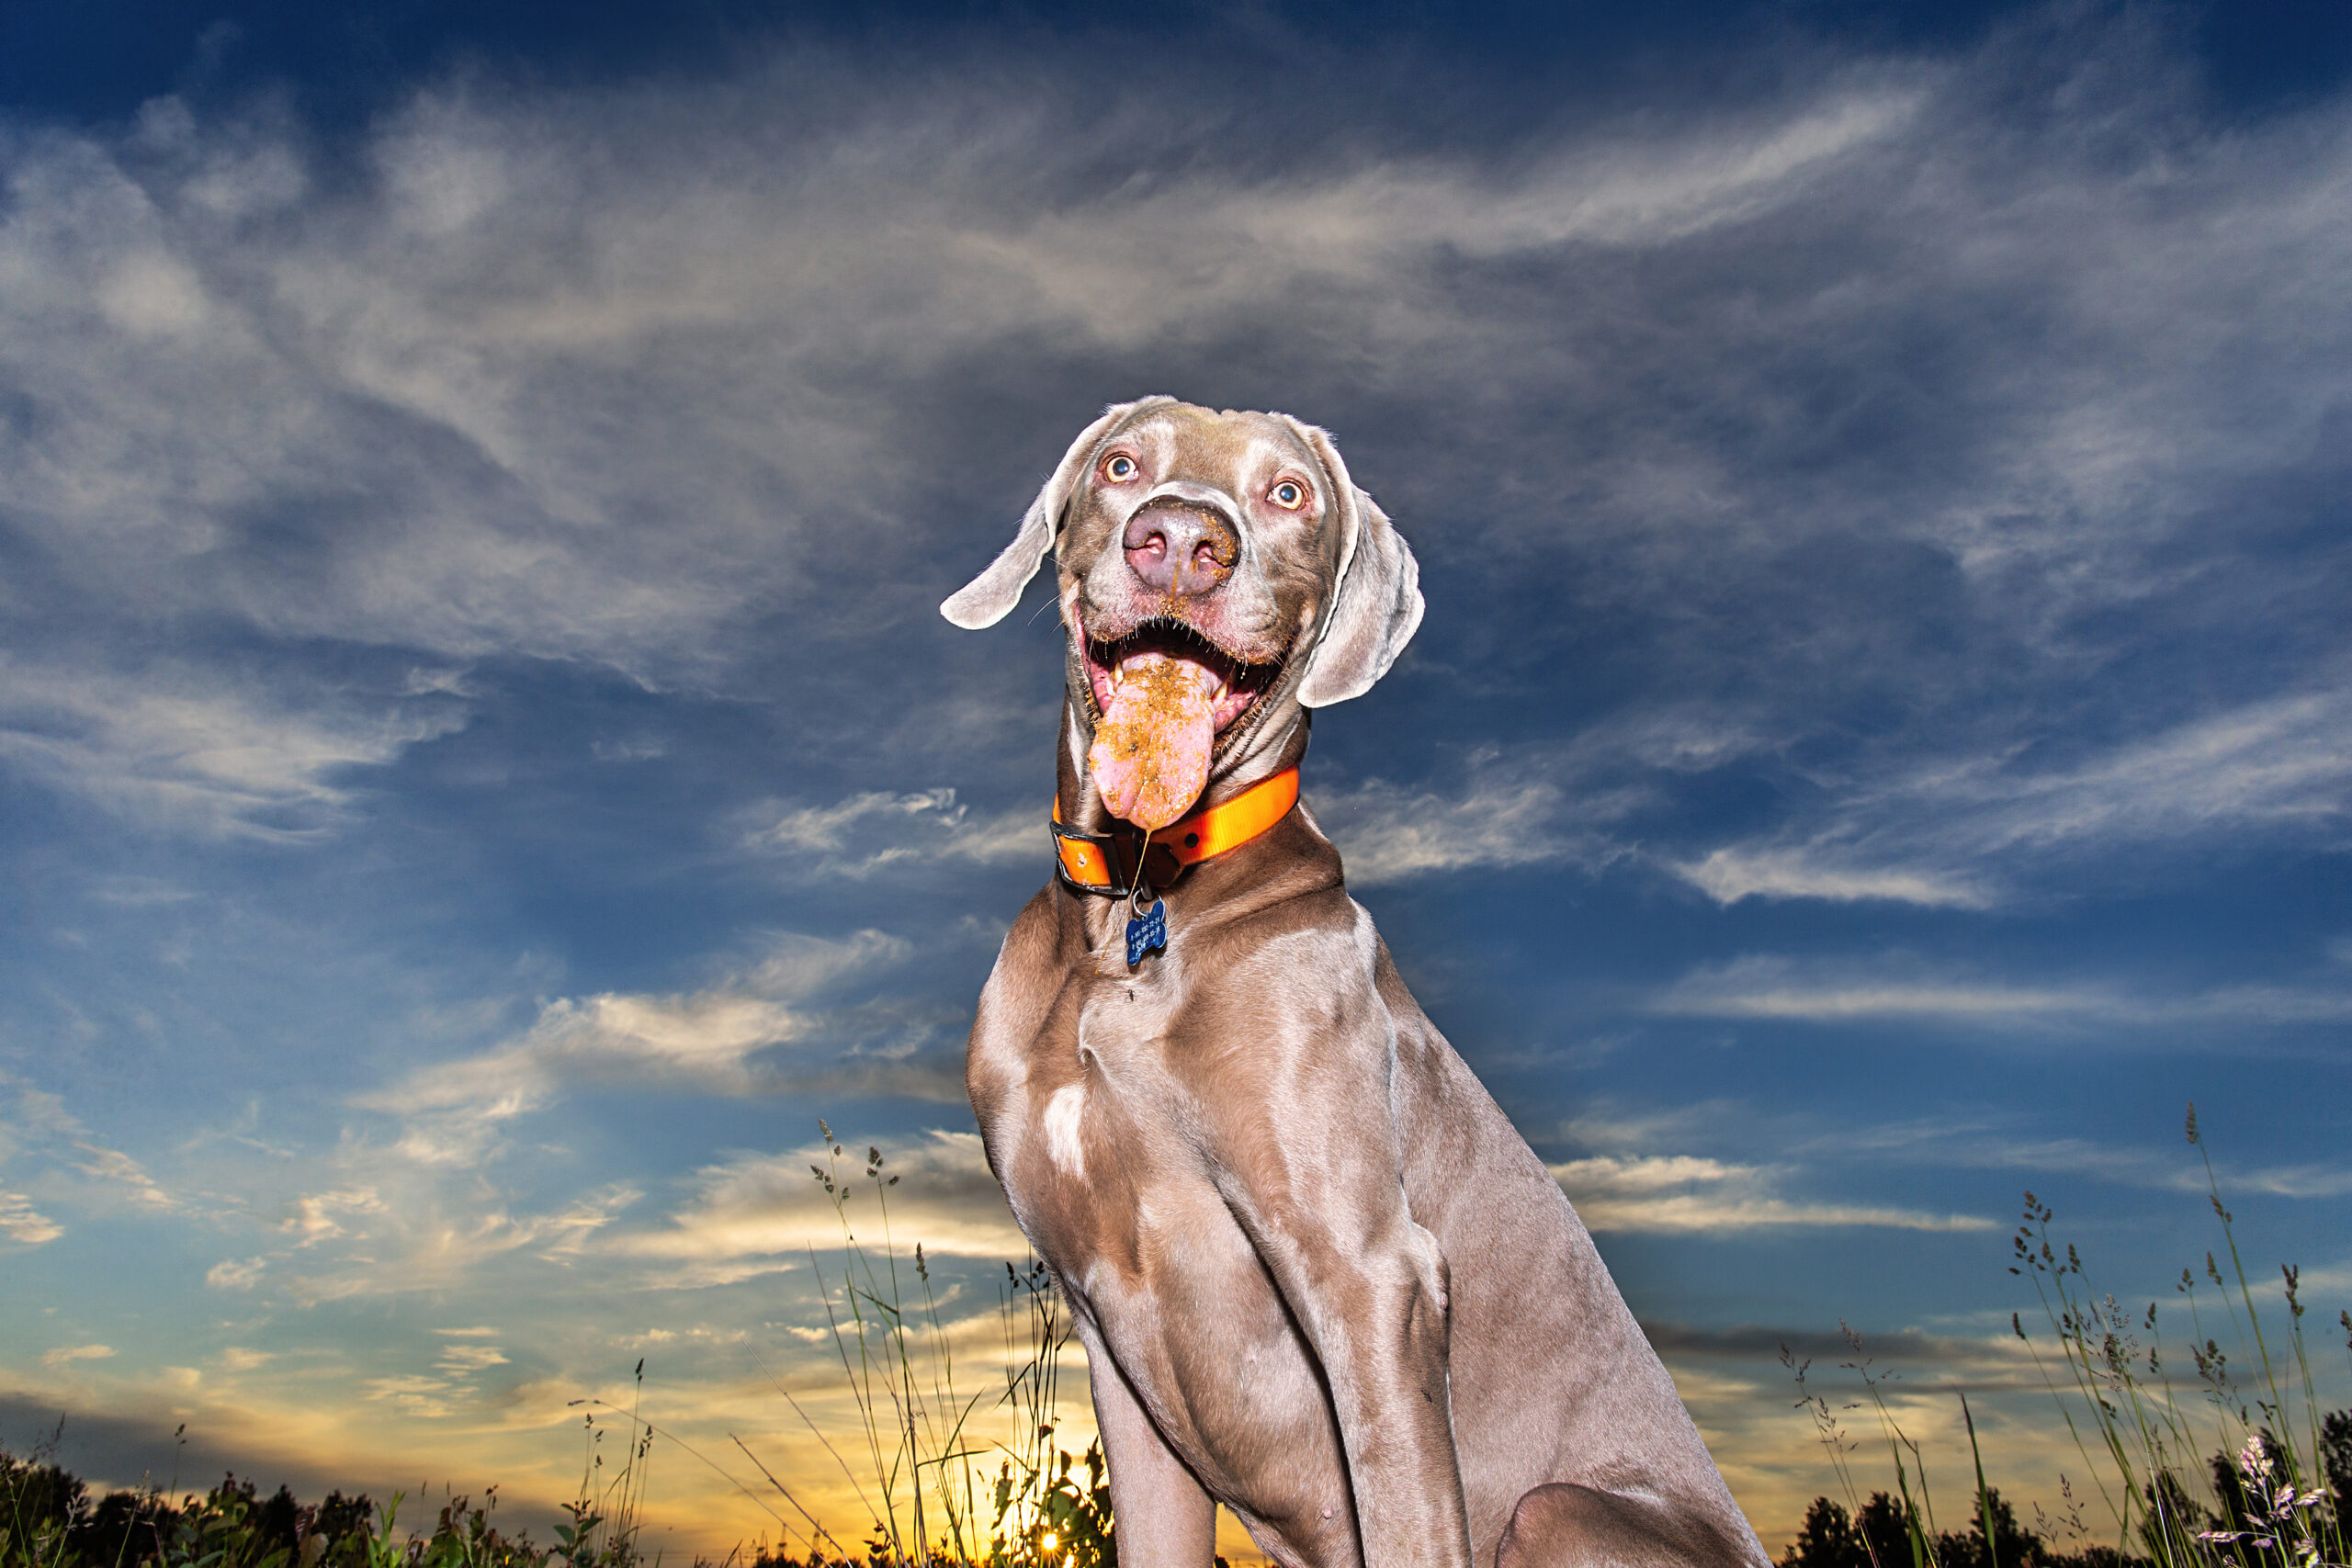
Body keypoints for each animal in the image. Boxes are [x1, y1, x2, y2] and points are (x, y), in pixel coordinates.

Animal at [935, 400, 1769, 1561]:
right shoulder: (1111, 1334)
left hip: (1554, 1512)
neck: (1134, 915)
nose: (1180, 541)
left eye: (1289, 494)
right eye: (1120, 464)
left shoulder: (1372, 1276)